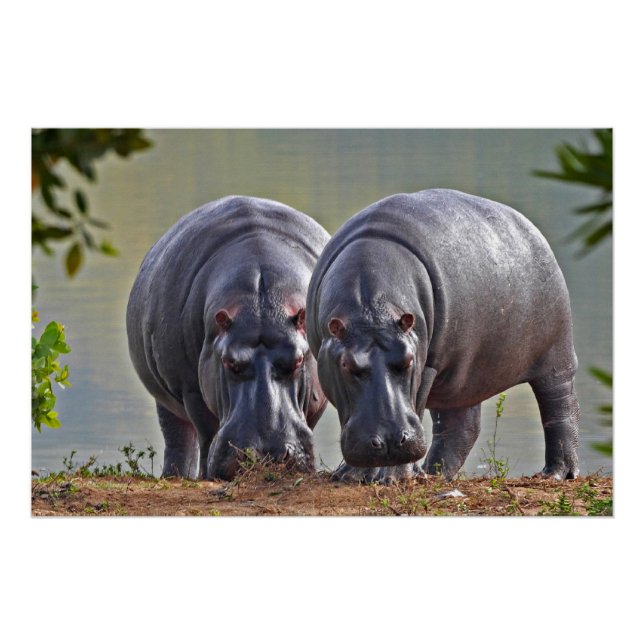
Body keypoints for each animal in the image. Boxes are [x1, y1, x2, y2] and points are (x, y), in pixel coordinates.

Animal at [126, 196, 329, 480]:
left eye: (299, 360)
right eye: (228, 362)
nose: (266, 454)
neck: (262, 304)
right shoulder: (191, 389)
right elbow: (207, 431)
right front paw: (206, 475)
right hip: (166, 399)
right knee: (179, 439)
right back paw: (176, 476)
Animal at [306, 189, 579, 483]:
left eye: (408, 360)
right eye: (346, 364)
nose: (390, 442)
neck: (371, 309)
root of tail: (530, 228)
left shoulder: (427, 364)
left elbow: (415, 404)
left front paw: (393, 478)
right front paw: (349, 475)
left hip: (556, 355)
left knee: (561, 408)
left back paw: (557, 474)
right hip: (462, 374)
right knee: (461, 425)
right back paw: (434, 475)